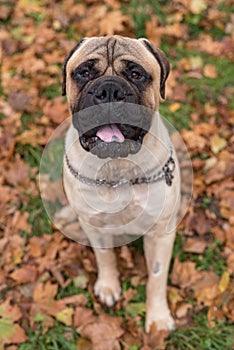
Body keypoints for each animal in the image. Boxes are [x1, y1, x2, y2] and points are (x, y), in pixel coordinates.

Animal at [61, 34, 180, 330]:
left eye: (136, 75)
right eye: (84, 72)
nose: (109, 90)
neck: (118, 168)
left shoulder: (160, 233)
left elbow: (156, 278)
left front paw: (158, 318)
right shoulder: (95, 226)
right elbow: (105, 257)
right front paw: (108, 285)